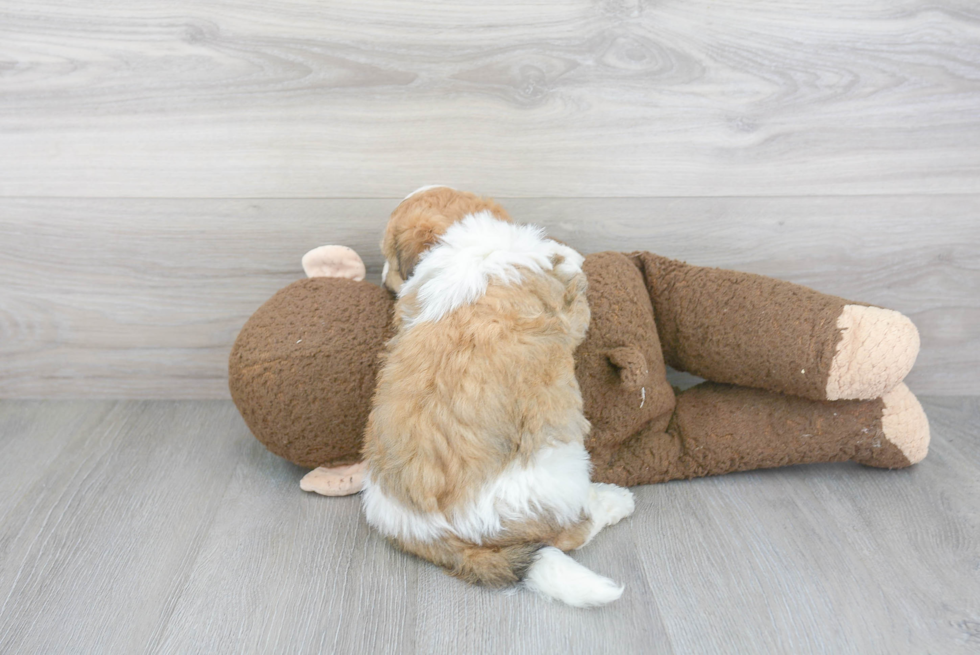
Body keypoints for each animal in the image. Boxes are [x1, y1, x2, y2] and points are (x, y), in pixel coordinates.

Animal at [360, 187, 636, 608]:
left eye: (390, 257)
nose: (380, 276)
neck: (465, 246)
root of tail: (430, 533)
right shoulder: (567, 311)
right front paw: (566, 254)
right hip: (558, 470)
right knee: (572, 532)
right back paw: (614, 501)